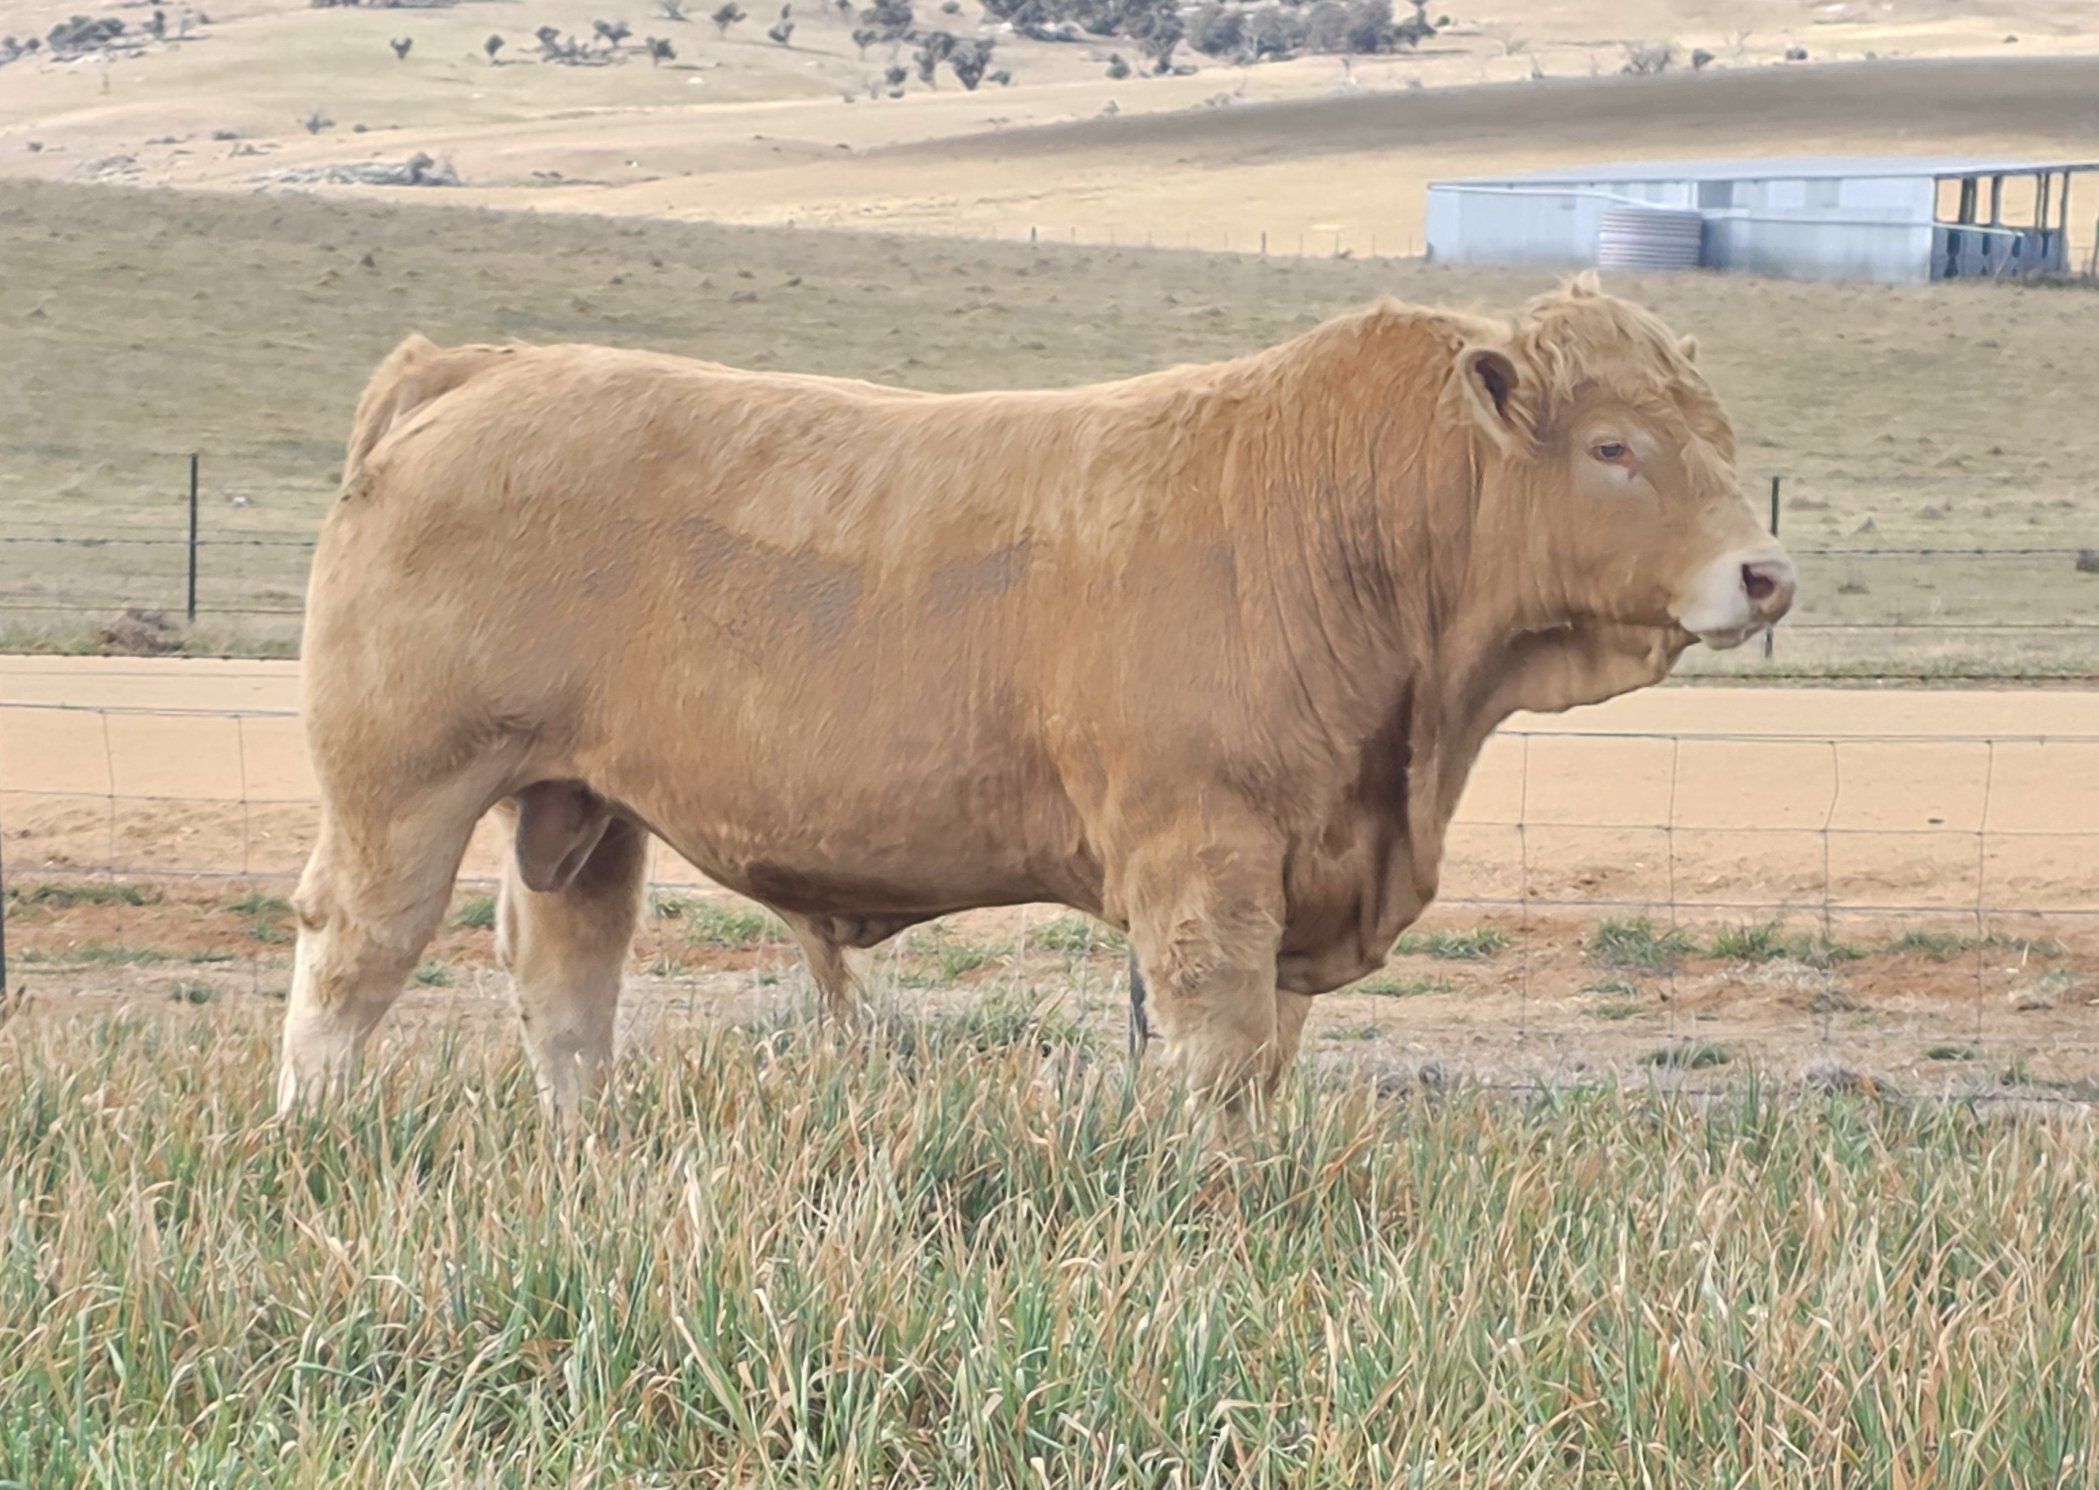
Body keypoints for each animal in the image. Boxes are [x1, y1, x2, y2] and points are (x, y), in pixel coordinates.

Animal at [277, 273, 1793, 1123]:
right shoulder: (1203, 860)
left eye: (1717, 439)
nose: (1763, 572)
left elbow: (1267, 1057)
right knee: (354, 955)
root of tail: (474, 369)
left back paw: (583, 1145)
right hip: (402, 788)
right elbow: (1212, 1048)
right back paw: (317, 1135)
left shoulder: (1305, 862)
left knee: (565, 979)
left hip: (578, 806)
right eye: (1612, 446)